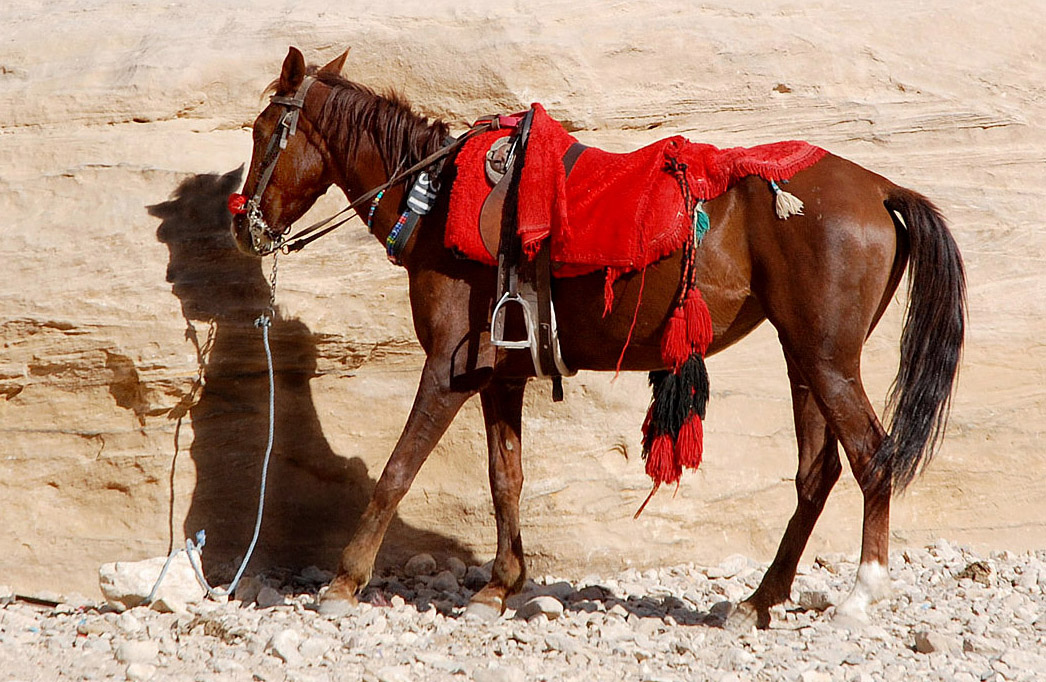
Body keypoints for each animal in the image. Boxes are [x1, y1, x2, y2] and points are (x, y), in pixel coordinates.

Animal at [229, 46, 962, 627]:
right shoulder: (499, 374)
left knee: (871, 459)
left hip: (827, 358)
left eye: (264, 131)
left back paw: (860, 596)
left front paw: (344, 581)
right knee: (818, 472)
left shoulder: (446, 369)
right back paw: (759, 600)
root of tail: (880, 188)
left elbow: (396, 472)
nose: (241, 224)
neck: (436, 203)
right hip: (804, 354)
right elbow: (505, 477)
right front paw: (500, 587)